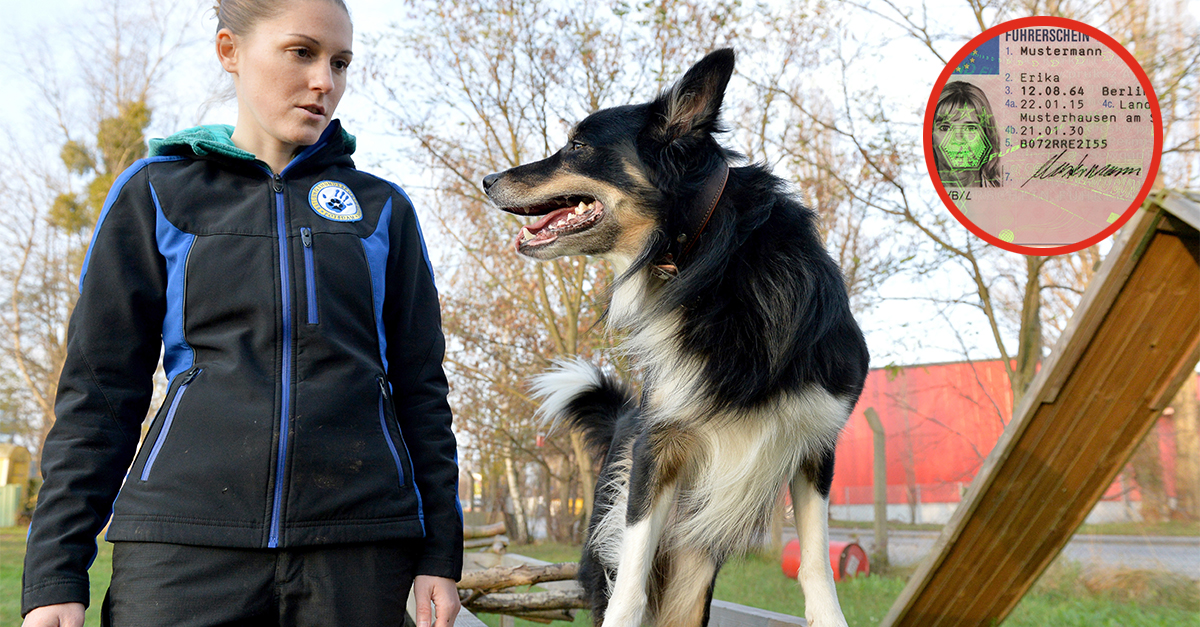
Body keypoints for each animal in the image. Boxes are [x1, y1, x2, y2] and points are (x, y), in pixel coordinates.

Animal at [482, 48, 868, 624]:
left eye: (577, 146)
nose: (487, 180)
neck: (711, 256)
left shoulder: (817, 441)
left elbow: (818, 561)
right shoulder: (654, 450)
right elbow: (630, 584)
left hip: (691, 573)